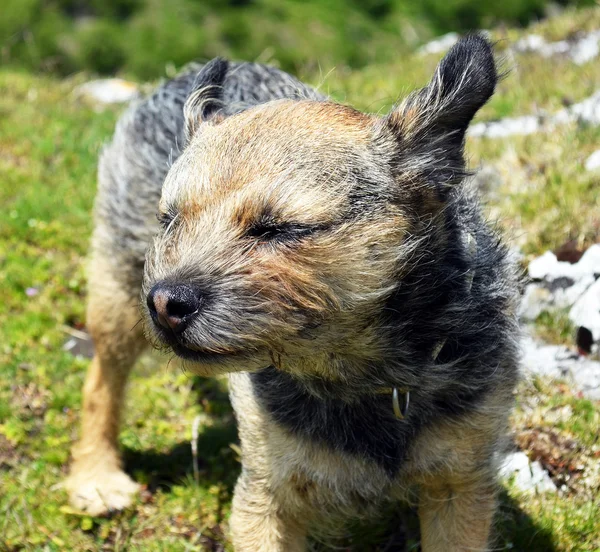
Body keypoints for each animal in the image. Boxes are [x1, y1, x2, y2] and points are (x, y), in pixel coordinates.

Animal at [67, 35, 520, 552]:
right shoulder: (266, 497)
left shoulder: (459, 488)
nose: (165, 303)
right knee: (102, 378)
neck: (363, 375)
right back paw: (95, 477)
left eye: (277, 229)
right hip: (118, 291)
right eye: (171, 220)